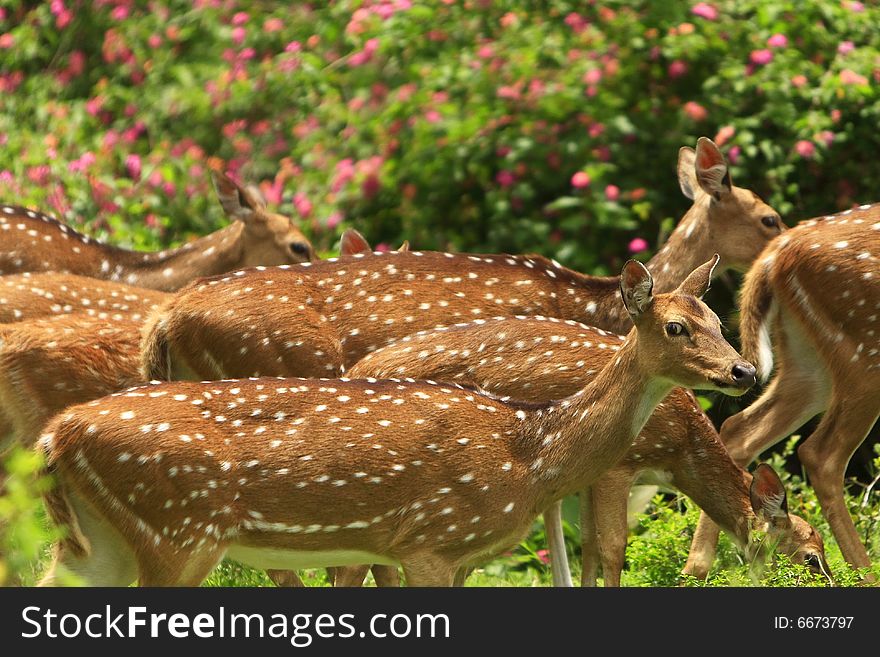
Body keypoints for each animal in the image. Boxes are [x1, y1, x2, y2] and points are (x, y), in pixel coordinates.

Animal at [41, 255, 752, 584]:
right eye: (677, 327)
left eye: (722, 320)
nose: (743, 371)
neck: (530, 454)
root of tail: (54, 437)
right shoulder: (427, 540)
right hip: (179, 531)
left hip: (97, 541)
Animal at [346, 316, 832, 588]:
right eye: (811, 558)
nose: (834, 580)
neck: (679, 452)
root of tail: (356, 368)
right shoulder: (621, 466)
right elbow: (613, 546)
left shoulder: (588, 479)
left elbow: (590, 547)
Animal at [688, 202, 880, 576]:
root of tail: (776, 253)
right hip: (864, 351)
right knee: (821, 453)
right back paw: (861, 573)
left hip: (808, 362)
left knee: (738, 427)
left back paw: (697, 569)